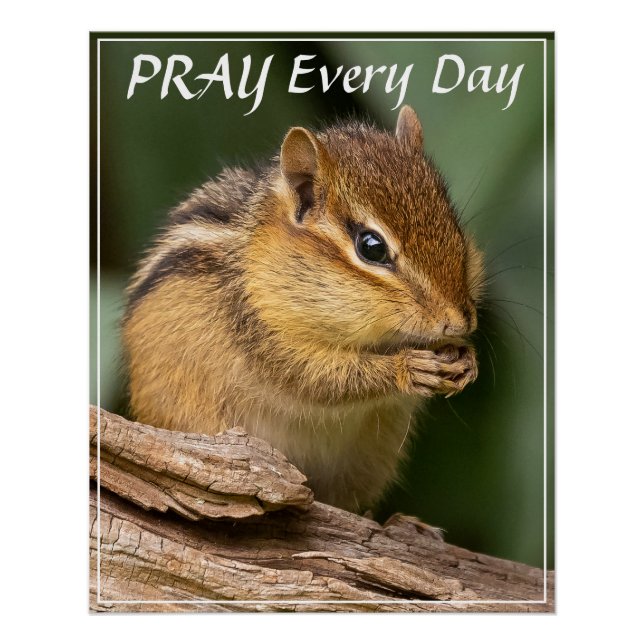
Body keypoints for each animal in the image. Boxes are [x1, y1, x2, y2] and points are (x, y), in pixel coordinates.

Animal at [122, 105, 484, 514]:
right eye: (371, 247)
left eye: (454, 227)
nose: (459, 321)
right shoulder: (258, 329)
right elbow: (315, 378)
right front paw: (407, 367)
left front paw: (467, 361)